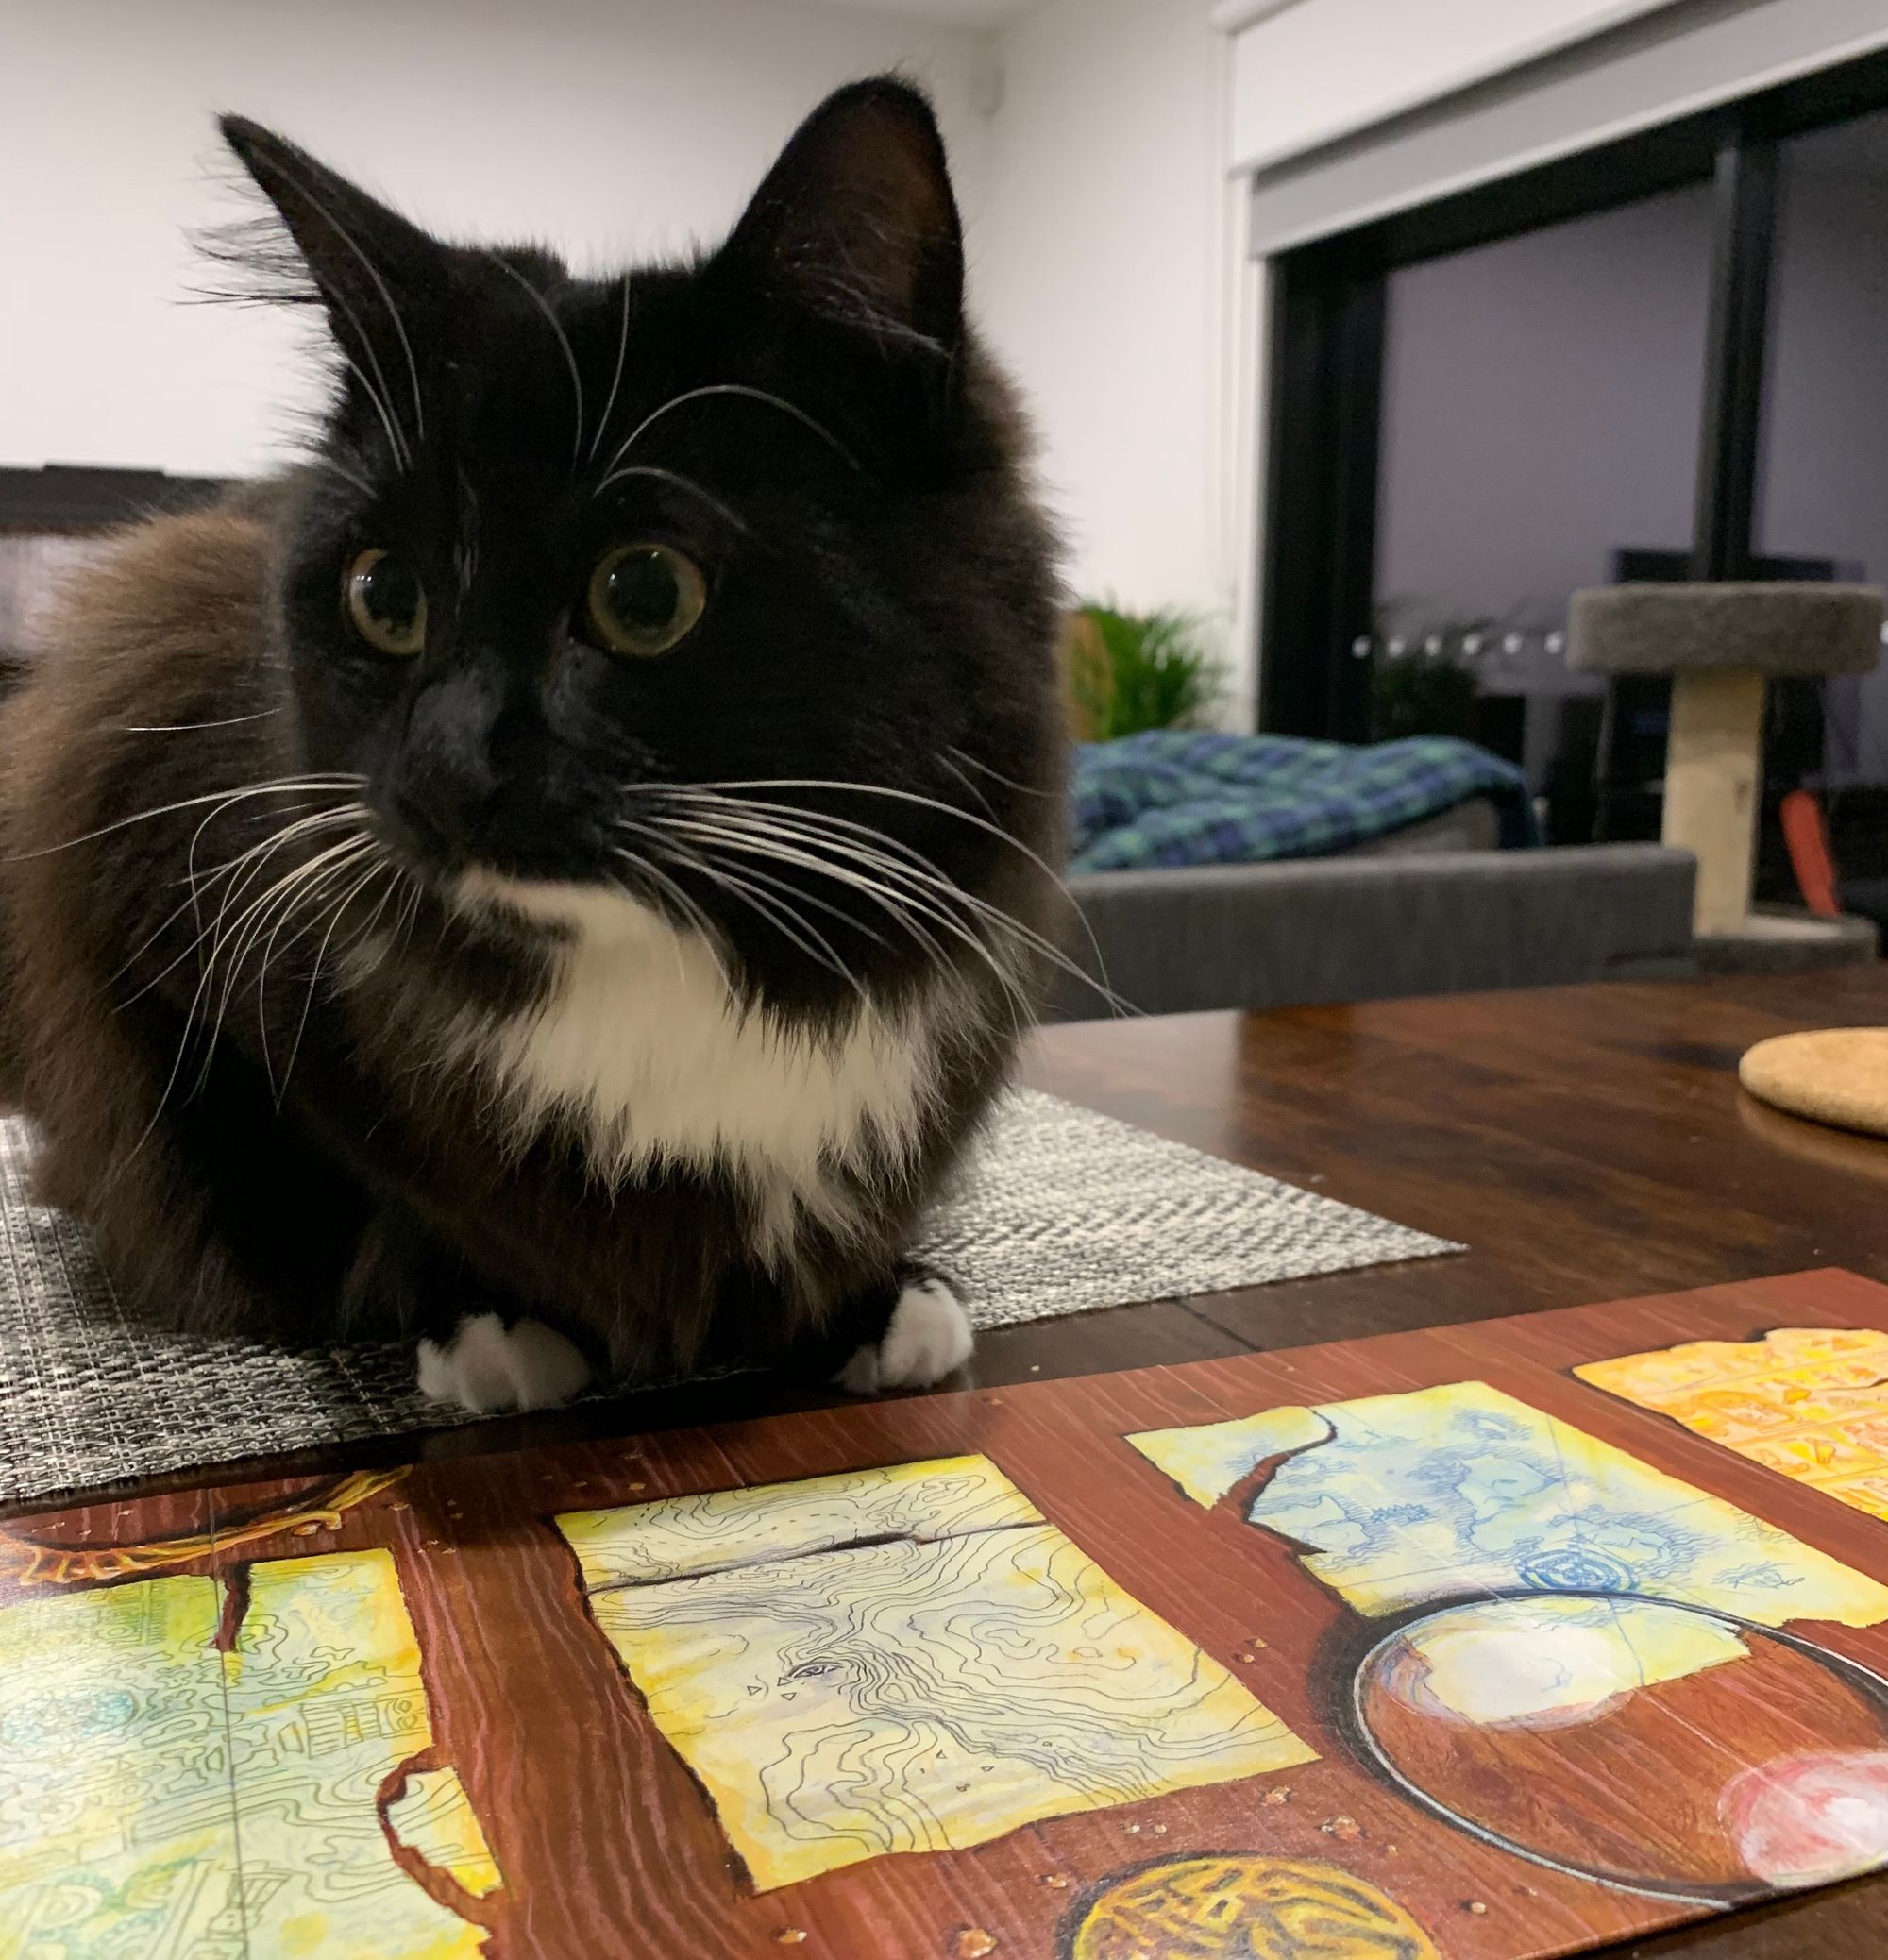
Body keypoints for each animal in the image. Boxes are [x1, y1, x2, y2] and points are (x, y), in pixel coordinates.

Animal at [0, 80, 1066, 1411]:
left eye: (645, 593)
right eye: (382, 596)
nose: (445, 770)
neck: (660, 953)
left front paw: (876, 1302)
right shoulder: (144, 839)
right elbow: (336, 1168)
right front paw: (485, 1317)